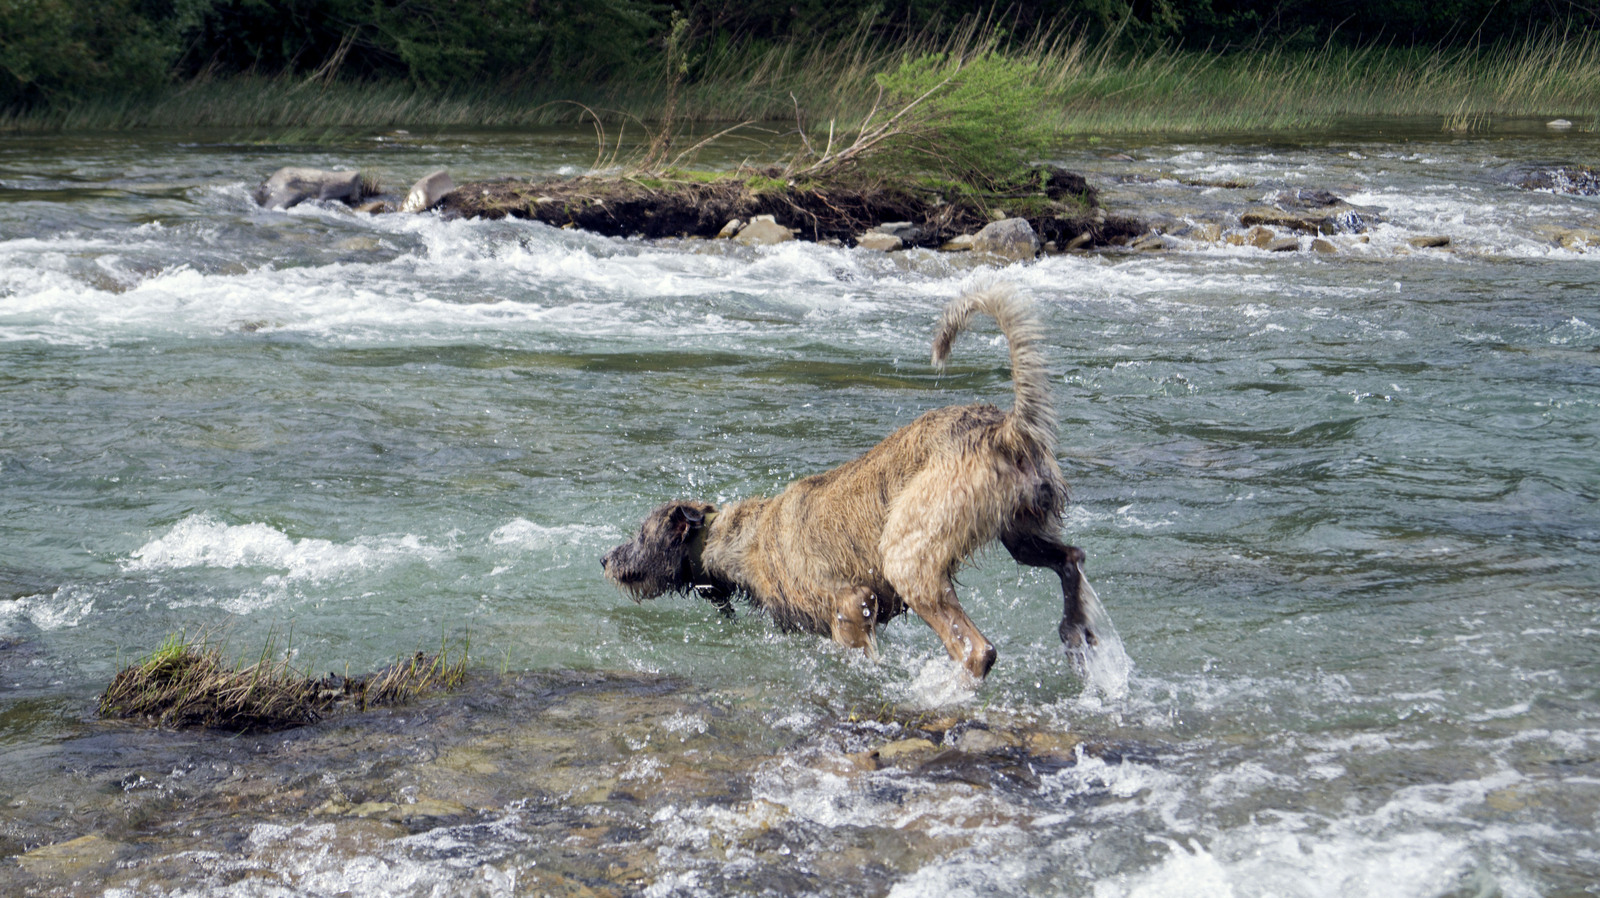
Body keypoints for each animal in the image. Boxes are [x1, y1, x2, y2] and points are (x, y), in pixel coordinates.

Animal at [595, 283, 1094, 675]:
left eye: (641, 534)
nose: (604, 559)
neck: (739, 538)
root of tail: (1008, 428)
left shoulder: (851, 604)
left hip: (910, 552)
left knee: (976, 649)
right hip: (1021, 526)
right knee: (1069, 557)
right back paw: (1076, 634)